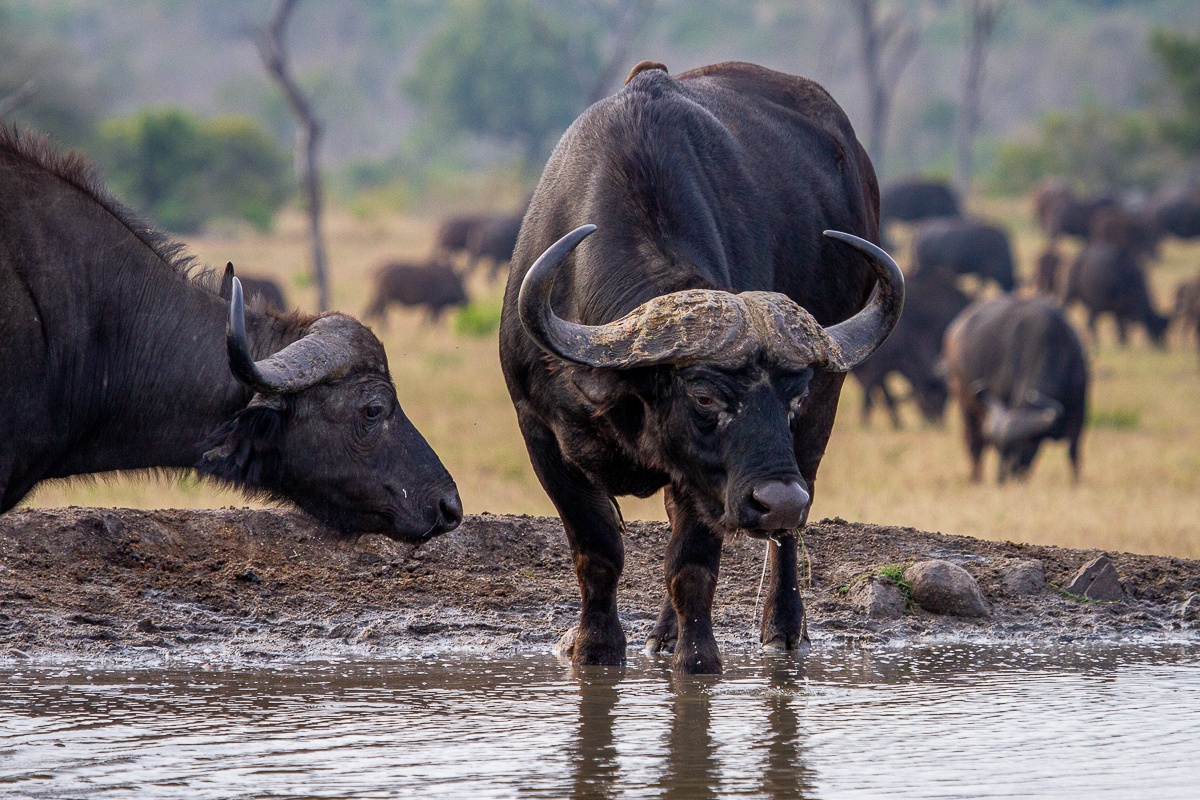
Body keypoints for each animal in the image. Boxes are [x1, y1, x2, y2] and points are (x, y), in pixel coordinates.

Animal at [499, 61, 903, 674]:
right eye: (705, 396)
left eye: (793, 396)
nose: (779, 501)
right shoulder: (538, 431)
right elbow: (597, 548)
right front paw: (596, 648)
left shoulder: (718, 473)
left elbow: (691, 565)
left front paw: (697, 661)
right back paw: (663, 634)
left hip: (817, 425)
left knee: (788, 525)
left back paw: (781, 627)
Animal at [852, 268, 971, 427]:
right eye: (936, 390)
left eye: (947, 395)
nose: (937, 420)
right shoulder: (877, 366)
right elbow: (874, 389)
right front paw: (866, 421)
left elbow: (882, 392)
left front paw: (896, 421)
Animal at [944, 295, 1089, 483]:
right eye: (999, 449)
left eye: (1019, 446)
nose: (1001, 479)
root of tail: (955, 329)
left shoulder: (1079, 410)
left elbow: (1073, 451)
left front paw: (1076, 482)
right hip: (965, 405)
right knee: (974, 444)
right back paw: (976, 479)